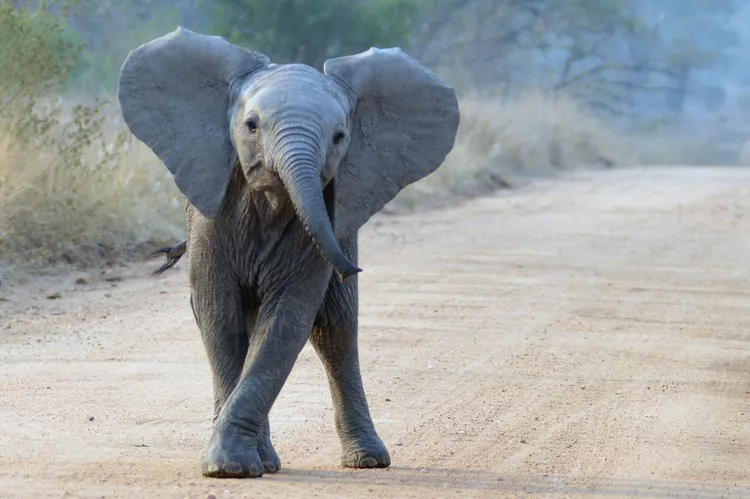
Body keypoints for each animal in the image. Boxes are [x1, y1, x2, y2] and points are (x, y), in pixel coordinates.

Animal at [118, 27, 459, 479]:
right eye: (250, 126)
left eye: (339, 137)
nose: (351, 269)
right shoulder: (212, 217)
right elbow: (219, 315)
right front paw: (230, 467)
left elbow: (287, 319)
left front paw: (230, 464)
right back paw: (268, 458)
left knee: (336, 329)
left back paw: (366, 460)